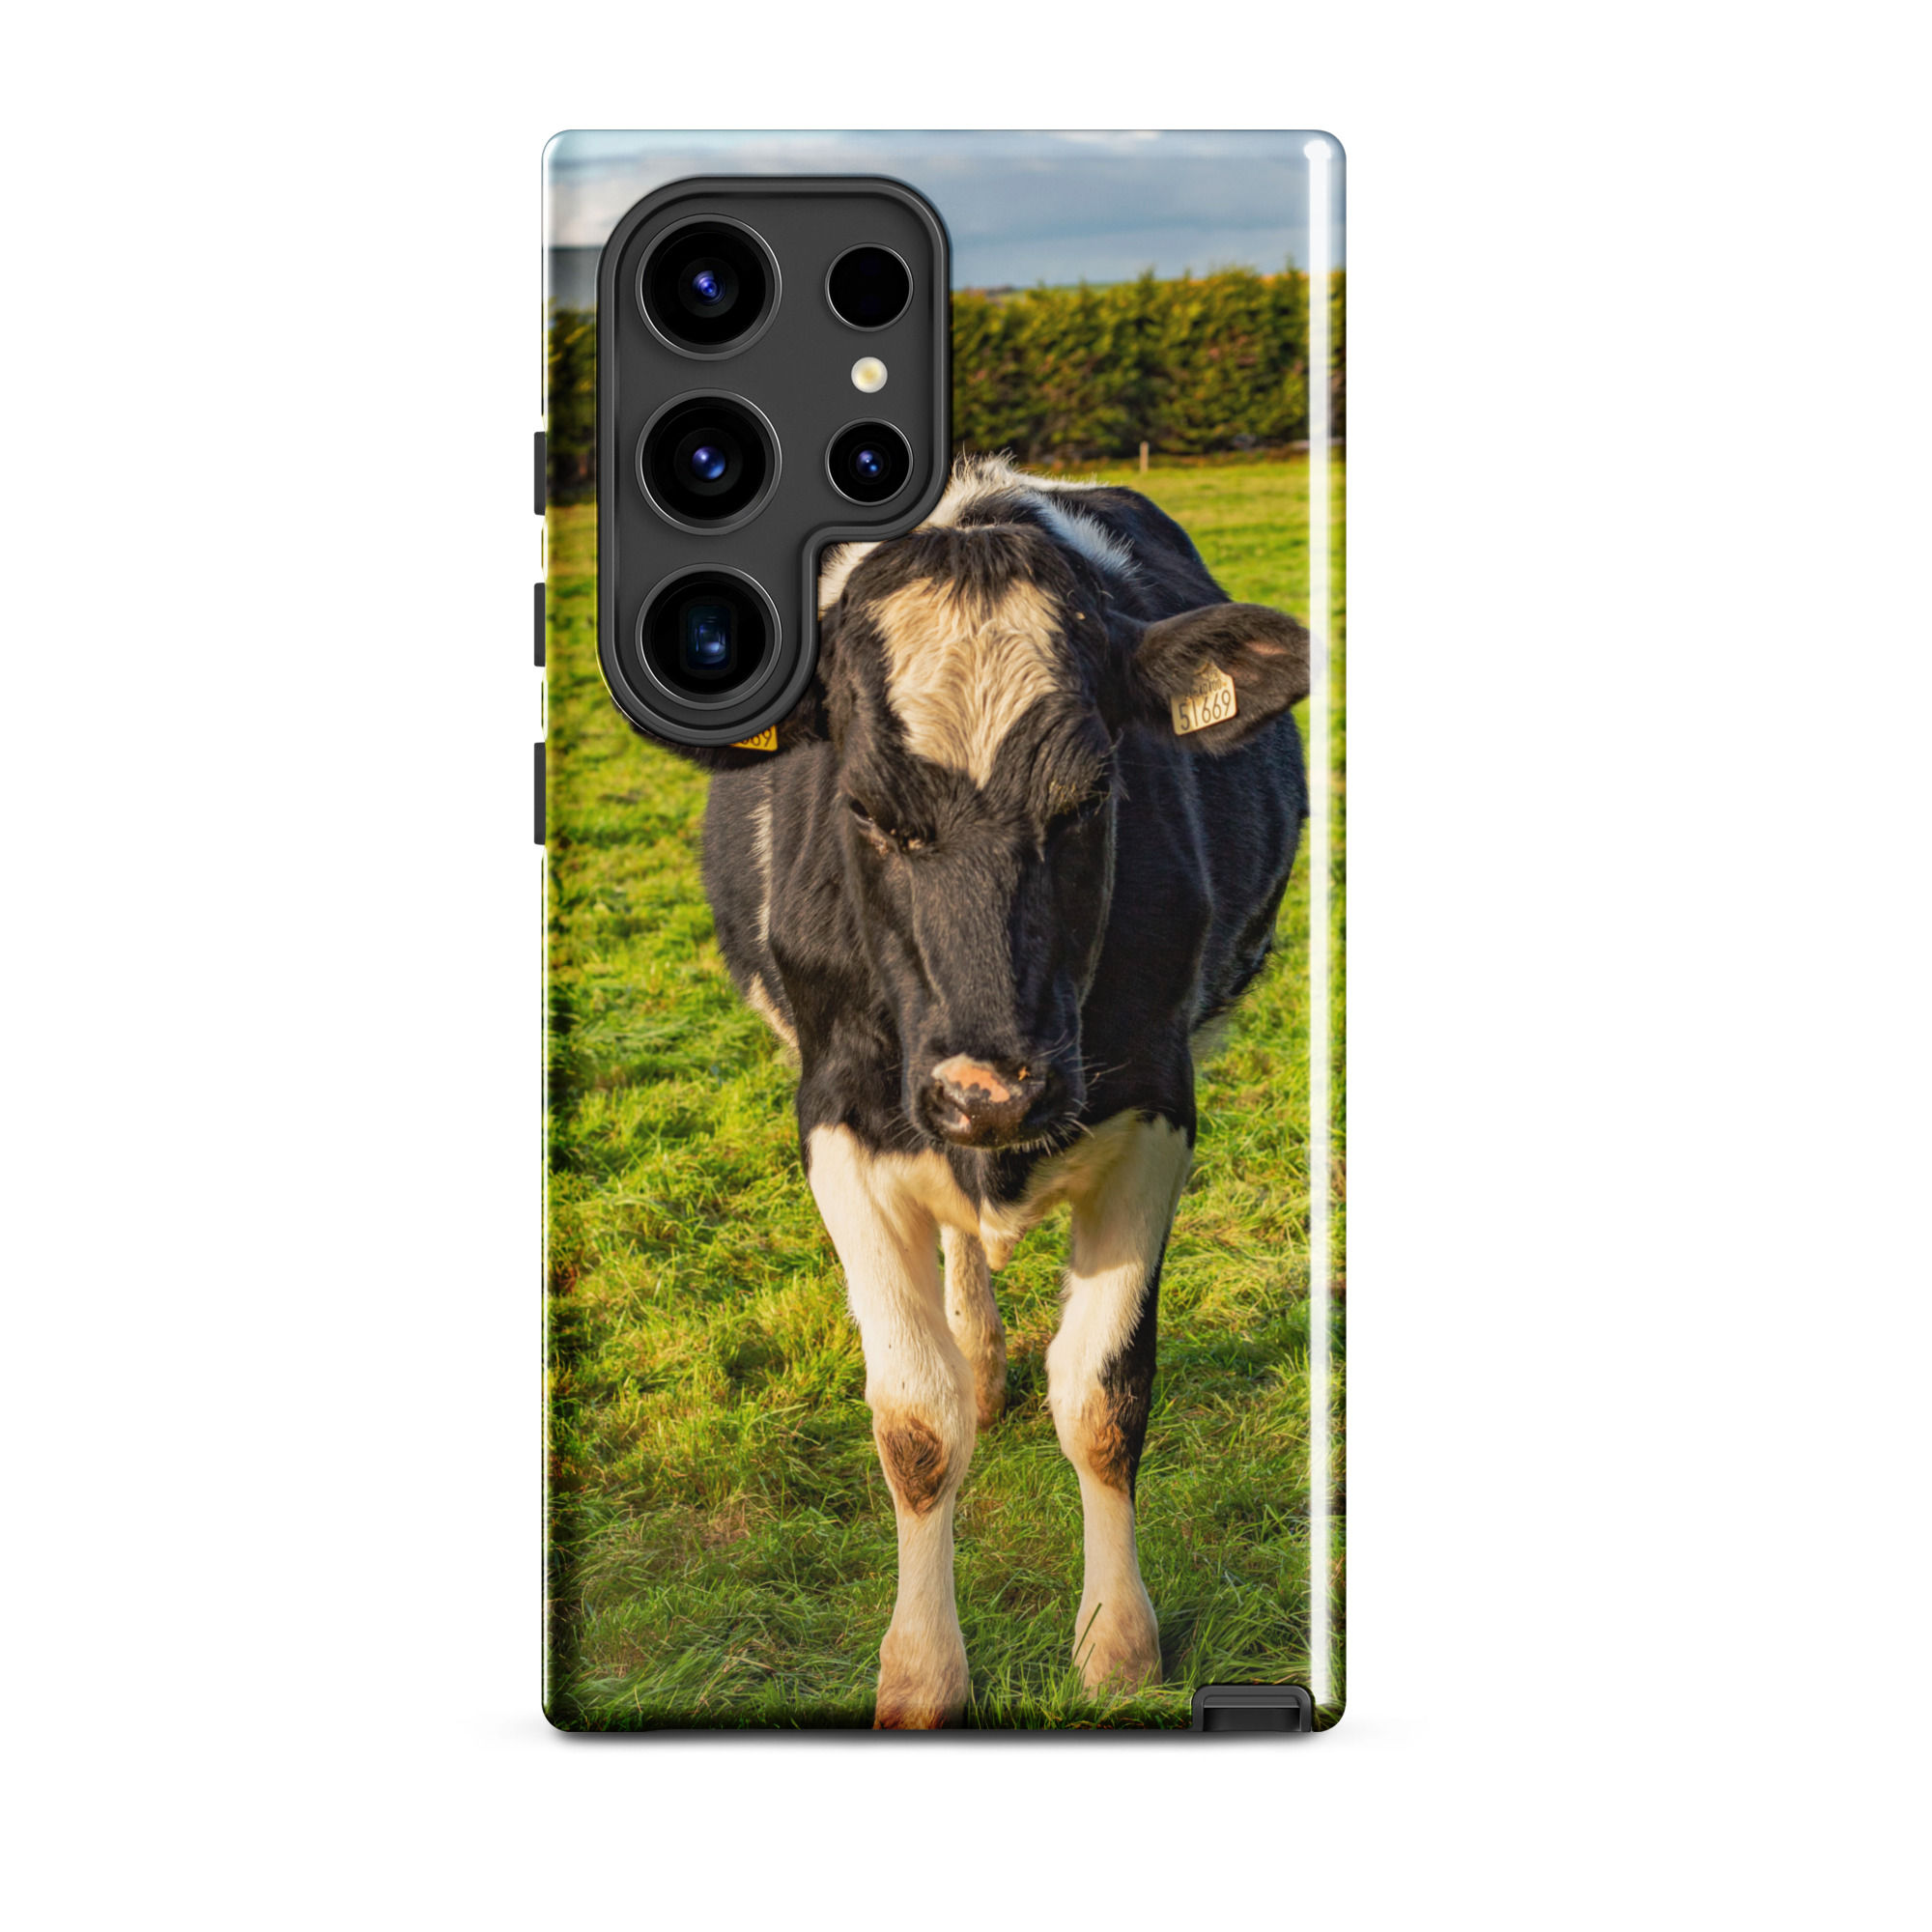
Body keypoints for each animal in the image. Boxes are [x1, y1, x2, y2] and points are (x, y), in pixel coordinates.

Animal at [690, 455, 1310, 1726]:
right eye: (866, 809)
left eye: (1089, 796)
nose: (991, 1089)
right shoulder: (839, 1121)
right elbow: (915, 1422)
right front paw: (922, 1672)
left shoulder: (1155, 1108)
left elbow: (1103, 1397)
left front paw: (1117, 1644)